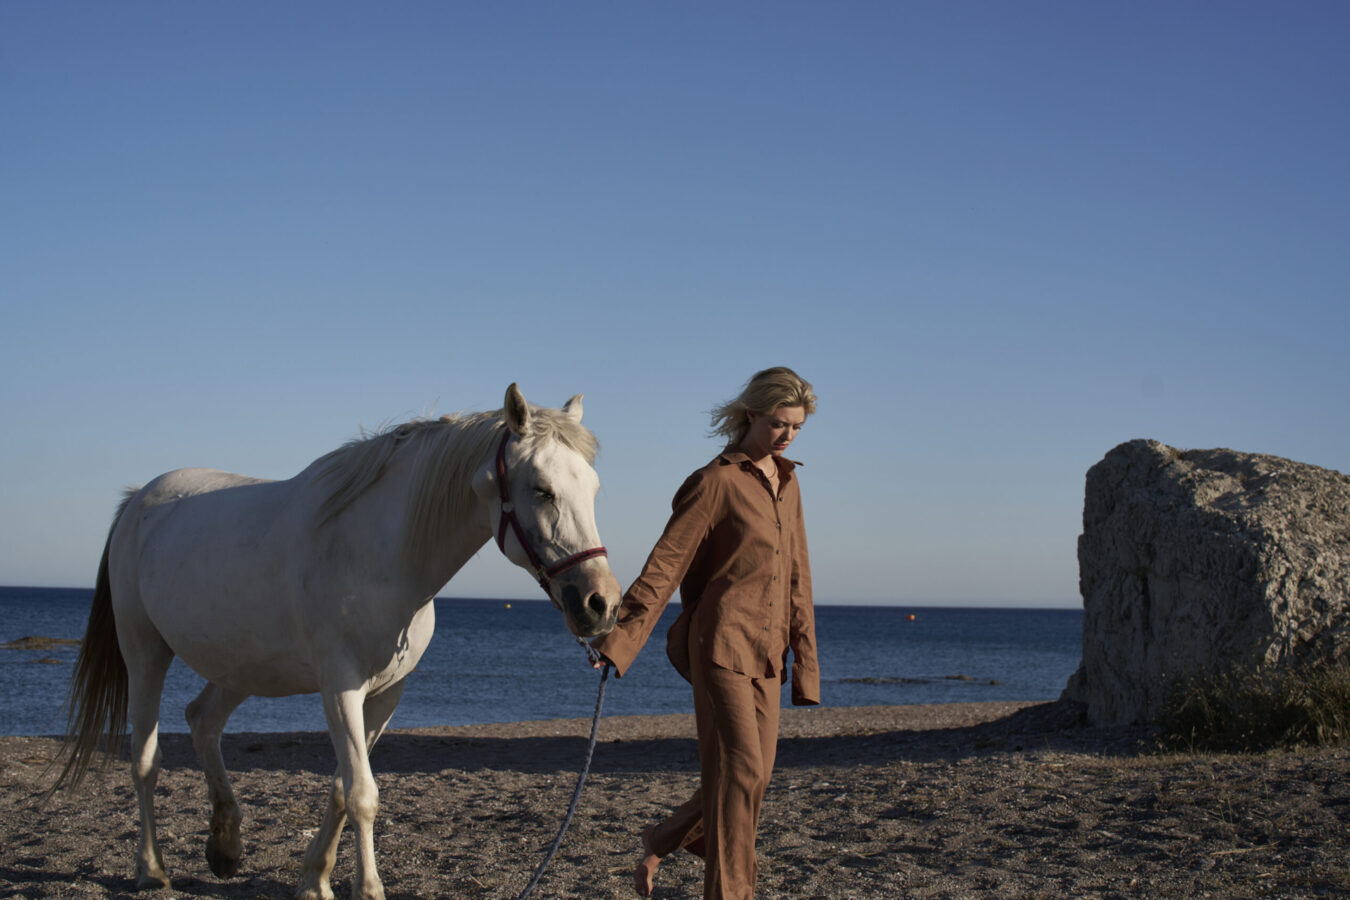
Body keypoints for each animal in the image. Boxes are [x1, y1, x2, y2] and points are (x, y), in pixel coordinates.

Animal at [53, 383, 622, 900]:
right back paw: (151, 869)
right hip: (145, 652)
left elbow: (341, 789)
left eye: (594, 489)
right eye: (542, 489)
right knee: (146, 761)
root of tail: (137, 502)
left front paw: (314, 879)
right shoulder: (340, 688)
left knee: (202, 721)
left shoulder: (385, 695)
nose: (602, 603)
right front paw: (367, 888)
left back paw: (225, 846)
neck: (380, 555)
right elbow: (362, 793)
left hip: (242, 667)